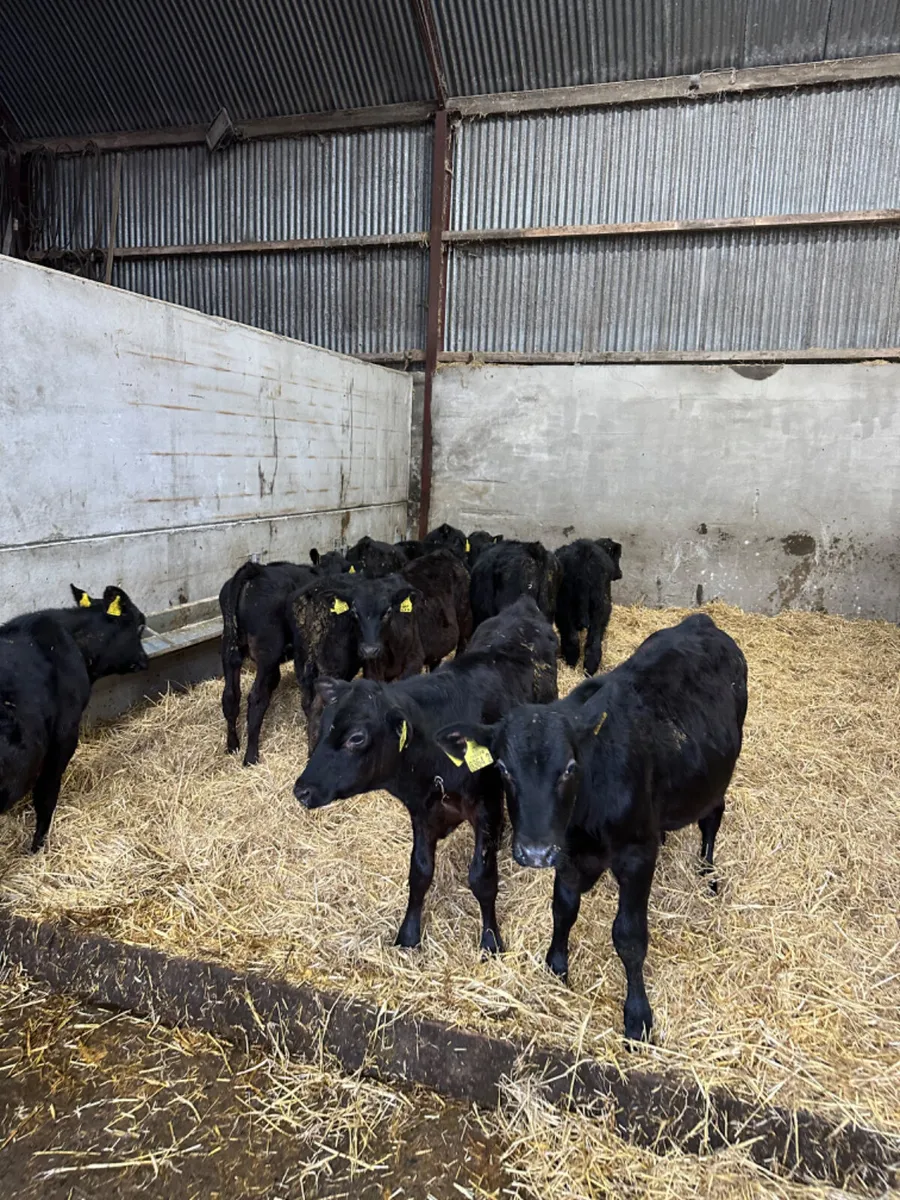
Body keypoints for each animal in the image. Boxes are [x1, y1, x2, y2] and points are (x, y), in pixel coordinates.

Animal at [220, 560, 317, 766]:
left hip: (229, 649)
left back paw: (233, 745)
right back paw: (250, 756)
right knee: (256, 698)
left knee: (231, 696)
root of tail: (256, 571)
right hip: (267, 652)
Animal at [293, 598, 559, 953]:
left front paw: (491, 939)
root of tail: (523, 605)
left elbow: (482, 878)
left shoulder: (485, 804)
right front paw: (408, 935)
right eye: (323, 727)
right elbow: (419, 872)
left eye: (356, 738)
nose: (302, 790)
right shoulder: (423, 811)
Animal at [325, 549, 471, 683]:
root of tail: (443, 553)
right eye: (354, 612)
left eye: (388, 611)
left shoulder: (414, 660)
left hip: (464, 620)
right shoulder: (372, 667)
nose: (369, 650)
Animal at [434, 613, 747, 1042]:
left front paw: (637, 1016)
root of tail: (701, 620)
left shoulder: (636, 855)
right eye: (503, 768)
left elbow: (629, 935)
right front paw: (556, 967)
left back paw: (708, 873)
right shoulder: (567, 853)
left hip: (718, 778)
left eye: (570, 767)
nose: (535, 852)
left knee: (713, 818)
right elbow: (563, 909)